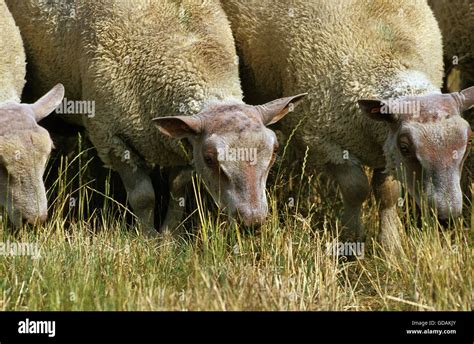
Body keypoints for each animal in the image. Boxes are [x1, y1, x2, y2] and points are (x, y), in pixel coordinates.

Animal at [7, 0, 308, 235]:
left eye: (274, 151)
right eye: (211, 159)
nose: (253, 220)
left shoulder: (183, 145)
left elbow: (177, 191)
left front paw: (169, 235)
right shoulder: (112, 138)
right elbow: (144, 198)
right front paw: (147, 236)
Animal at [222, 0, 474, 247]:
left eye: (468, 143)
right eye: (406, 148)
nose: (447, 217)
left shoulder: (385, 148)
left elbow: (388, 194)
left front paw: (390, 245)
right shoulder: (324, 142)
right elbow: (356, 190)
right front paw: (351, 240)